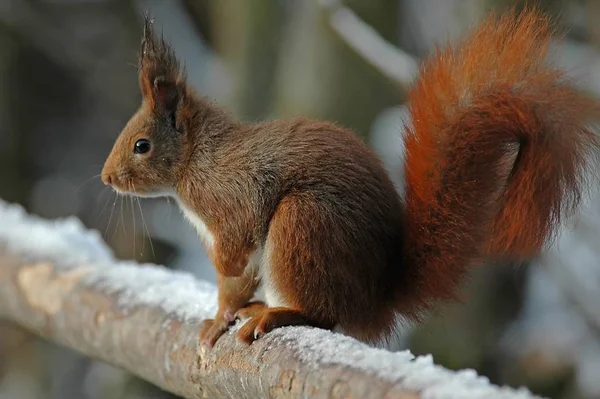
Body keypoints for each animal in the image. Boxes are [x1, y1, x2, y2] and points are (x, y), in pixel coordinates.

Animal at [101, 7, 600, 350]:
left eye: (141, 145)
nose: (106, 178)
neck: (195, 161)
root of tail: (375, 298)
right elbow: (232, 287)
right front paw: (218, 318)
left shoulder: (233, 202)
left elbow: (234, 255)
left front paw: (222, 300)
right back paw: (262, 307)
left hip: (302, 226)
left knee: (322, 314)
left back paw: (274, 316)